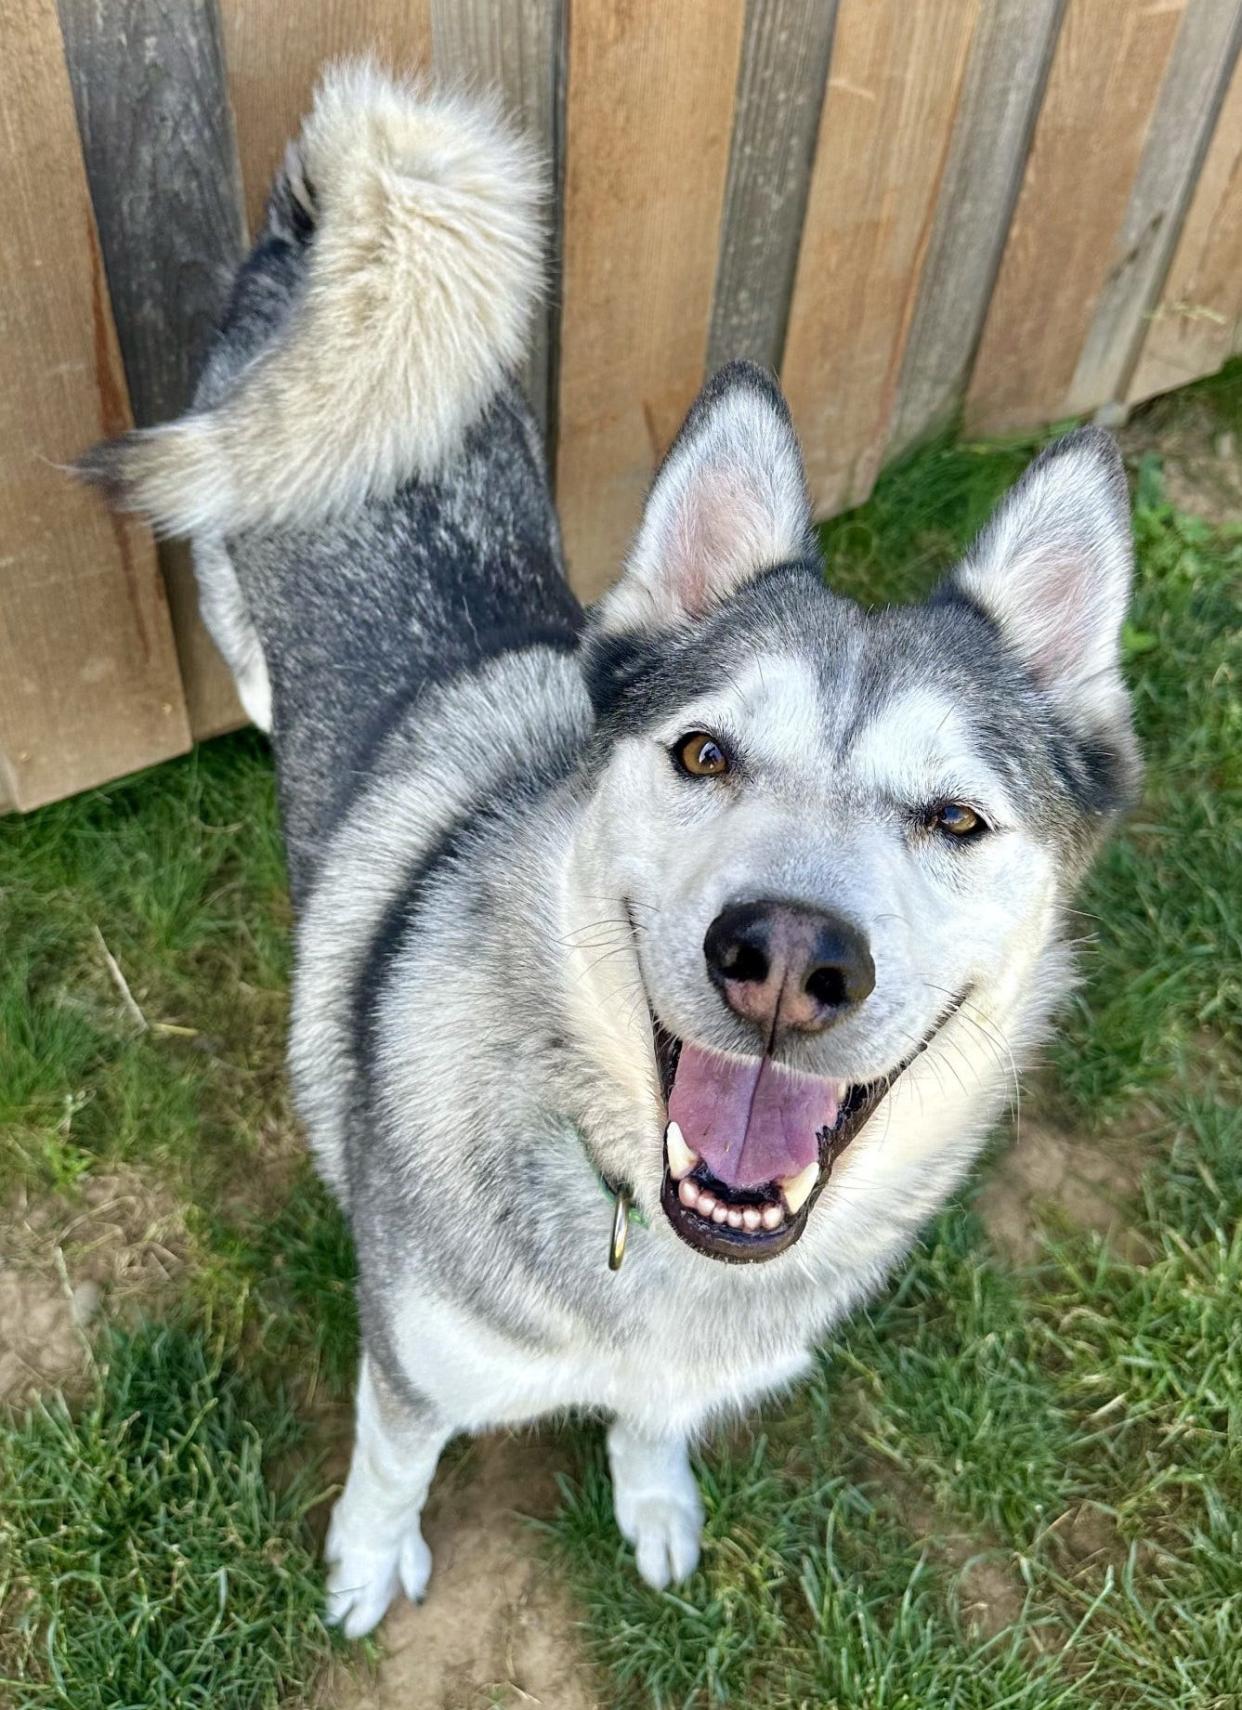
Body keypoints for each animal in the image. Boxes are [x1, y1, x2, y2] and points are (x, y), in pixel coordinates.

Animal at [80, 66, 1149, 1634]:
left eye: (954, 818)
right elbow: (392, 1466)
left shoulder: (680, 1371)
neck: (644, 1229)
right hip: (231, 526)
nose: (787, 957)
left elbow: (652, 1425)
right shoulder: (408, 1361)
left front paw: (653, 1500)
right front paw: (366, 1563)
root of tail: (334, 218)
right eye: (703, 753)